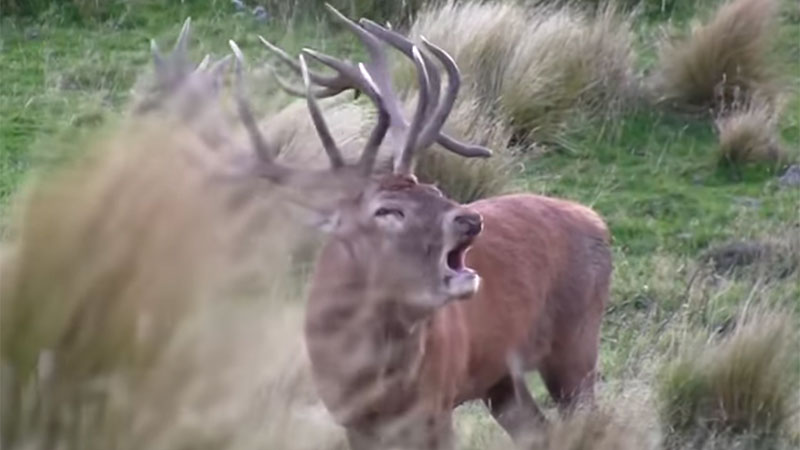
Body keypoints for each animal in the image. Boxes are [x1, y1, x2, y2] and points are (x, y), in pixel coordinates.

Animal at [214, 6, 613, 450]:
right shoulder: (350, 417)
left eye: (433, 188)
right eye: (388, 210)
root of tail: (595, 218)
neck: (372, 376)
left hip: (576, 342)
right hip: (502, 377)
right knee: (537, 429)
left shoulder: (437, 404)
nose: (469, 219)